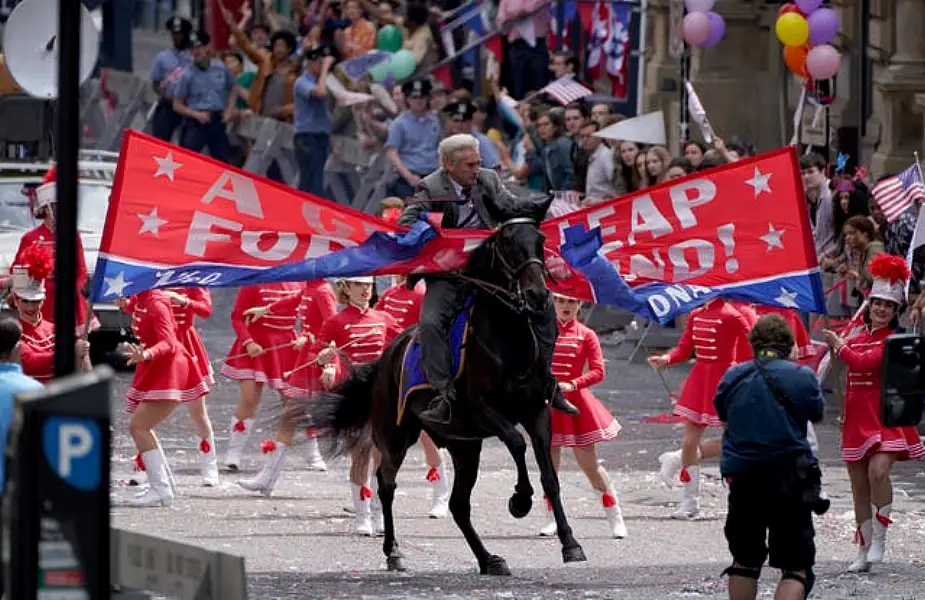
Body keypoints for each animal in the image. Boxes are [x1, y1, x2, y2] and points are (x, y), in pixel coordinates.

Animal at [310, 202, 584, 576]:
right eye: (507, 243)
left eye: (540, 241)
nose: (538, 295)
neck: (509, 342)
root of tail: (387, 356)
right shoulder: (486, 410)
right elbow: (515, 442)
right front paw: (519, 500)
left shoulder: (537, 412)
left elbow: (550, 479)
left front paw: (570, 543)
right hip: (395, 436)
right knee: (386, 484)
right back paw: (394, 551)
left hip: (464, 446)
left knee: (458, 505)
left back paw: (488, 559)